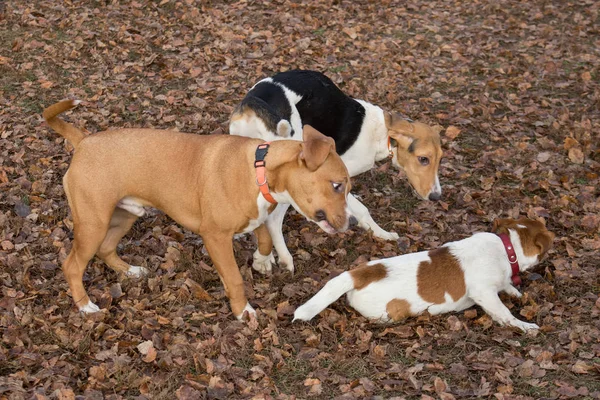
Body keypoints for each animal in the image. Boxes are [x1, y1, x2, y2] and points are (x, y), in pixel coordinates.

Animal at [43, 101, 352, 322]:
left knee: (107, 248)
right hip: (93, 223)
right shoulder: (215, 237)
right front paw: (243, 311)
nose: (349, 223)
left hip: (125, 215)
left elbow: (264, 237)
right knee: (72, 266)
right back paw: (86, 307)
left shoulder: (258, 214)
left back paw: (130, 271)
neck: (259, 169)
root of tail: (83, 140)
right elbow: (235, 278)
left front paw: (262, 261)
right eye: (337, 185)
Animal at [230, 69, 446, 276]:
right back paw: (283, 258)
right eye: (423, 159)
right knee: (273, 219)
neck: (382, 134)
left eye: (440, 159)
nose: (436, 197)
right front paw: (382, 233)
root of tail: (252, 101)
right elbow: (362, 210)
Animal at [292, 219, 556, 332]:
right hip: (390, 313)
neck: (506, 247)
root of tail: (358, 274)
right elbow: (505, 314)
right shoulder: (485, 294)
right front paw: (525, 326)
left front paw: (514, 291)